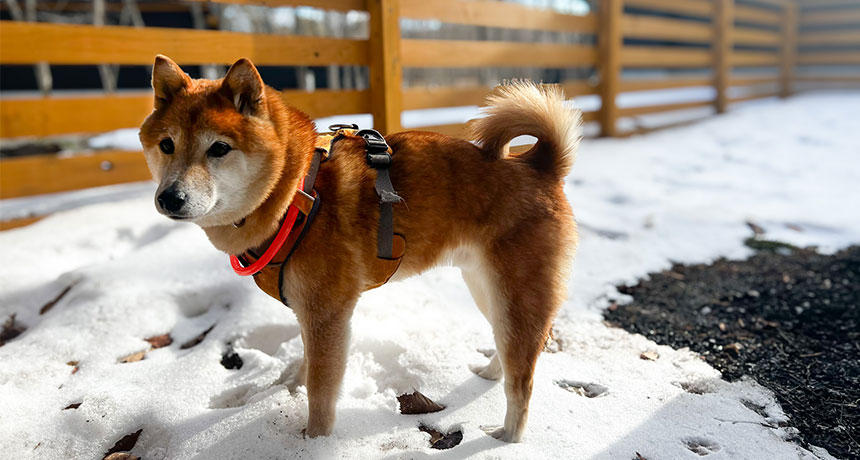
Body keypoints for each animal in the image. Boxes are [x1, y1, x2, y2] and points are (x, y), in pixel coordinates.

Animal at [141, 54, 580, 442]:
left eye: (218, 148)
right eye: (167, 145)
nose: (170, 198)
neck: (294, 193)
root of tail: (539, 165)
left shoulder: (327, 314)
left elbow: (321, 391)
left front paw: (314, 442)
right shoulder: (310, 312)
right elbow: (306, 365)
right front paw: (290, 387)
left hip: (515, 295)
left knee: (522, 380)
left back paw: (507, 437)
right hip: (486, 288)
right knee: (510, 350)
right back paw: (490, 373)